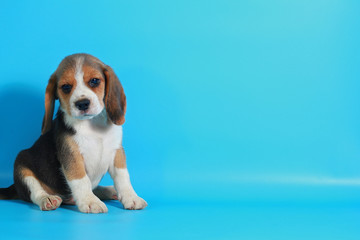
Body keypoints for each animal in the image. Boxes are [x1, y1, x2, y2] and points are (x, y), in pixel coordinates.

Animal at [0, 53, 148, 213]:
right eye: (66, 87)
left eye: (94, 81)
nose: (82, 103)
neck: (92, 124)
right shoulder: (71, 155)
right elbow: (80, 179)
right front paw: (89, 201)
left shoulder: (117, 151)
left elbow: (122, 176)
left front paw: (131, 197)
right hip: (21, 164)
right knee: (35, 192)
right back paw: (48, 199)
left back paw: (108, 190)